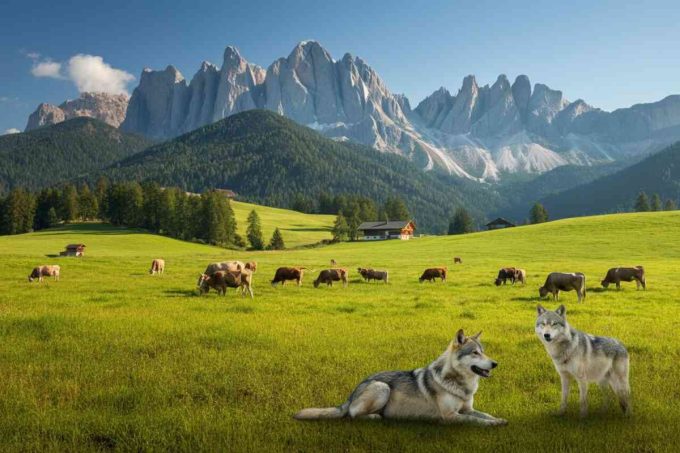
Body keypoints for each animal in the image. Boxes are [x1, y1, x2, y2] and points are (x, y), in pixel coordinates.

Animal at [294, 330, 507, 426]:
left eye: (483, 352)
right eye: (475, 353)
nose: (495, 363)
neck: (461, 384)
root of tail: (351, 394)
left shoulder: (467, 409)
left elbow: (484, 414)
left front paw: (499, 419)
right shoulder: (450, 416)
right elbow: (476, 421)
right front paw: (493, 424)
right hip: (382, 387)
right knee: (353, 415)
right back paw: (375, 416)